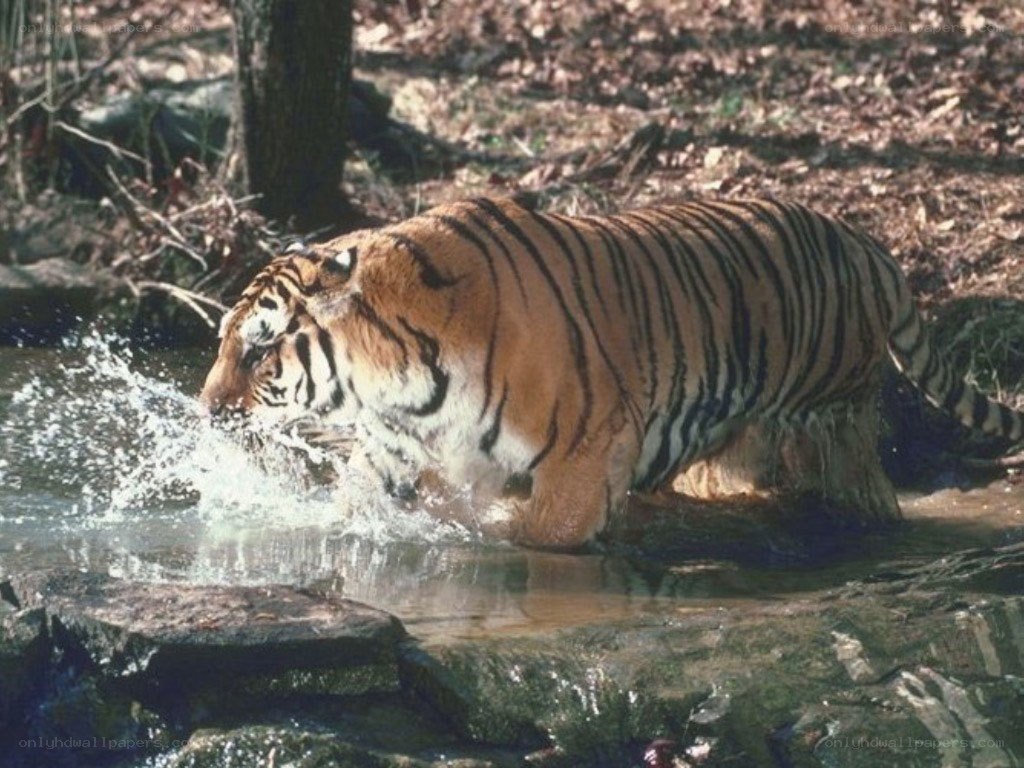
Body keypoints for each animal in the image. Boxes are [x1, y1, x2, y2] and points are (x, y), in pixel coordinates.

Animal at [200, 196, 1024, 548]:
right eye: (222, 341)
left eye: (259, 349)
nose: (206, 410)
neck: (404, 382)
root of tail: (866, 241)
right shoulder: (396, 449)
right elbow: (357, 505)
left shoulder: (586, 448)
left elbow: (546, 534)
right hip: (736, 446)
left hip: (835, 421)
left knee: (862, 488)